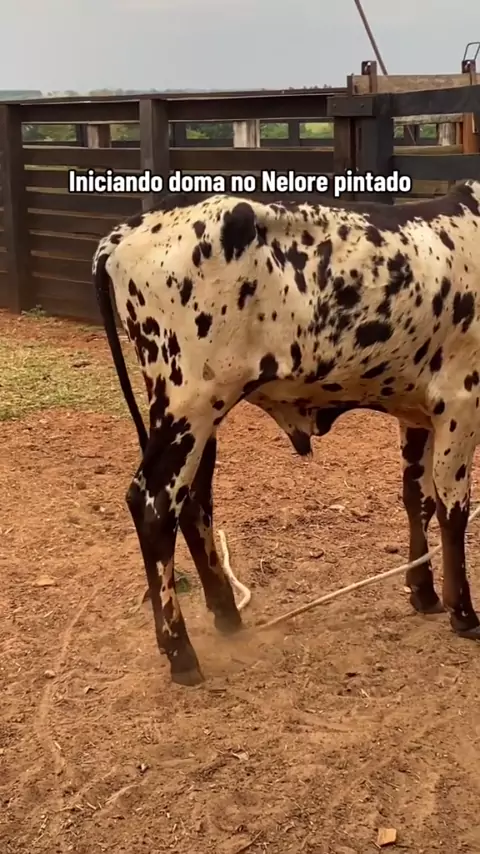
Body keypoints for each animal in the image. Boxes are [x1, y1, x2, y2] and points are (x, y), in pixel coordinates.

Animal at [92, 181, 480, 687]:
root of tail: (124, 233)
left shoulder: (416, 410)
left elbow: (420, 500)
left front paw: (424, 593)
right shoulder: (461, 402)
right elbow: (455, 511)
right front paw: (464, 613)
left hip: (199, 415)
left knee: (194, 502)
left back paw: (226, 615)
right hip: (187, 405)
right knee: (154, 506)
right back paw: (180, 651)